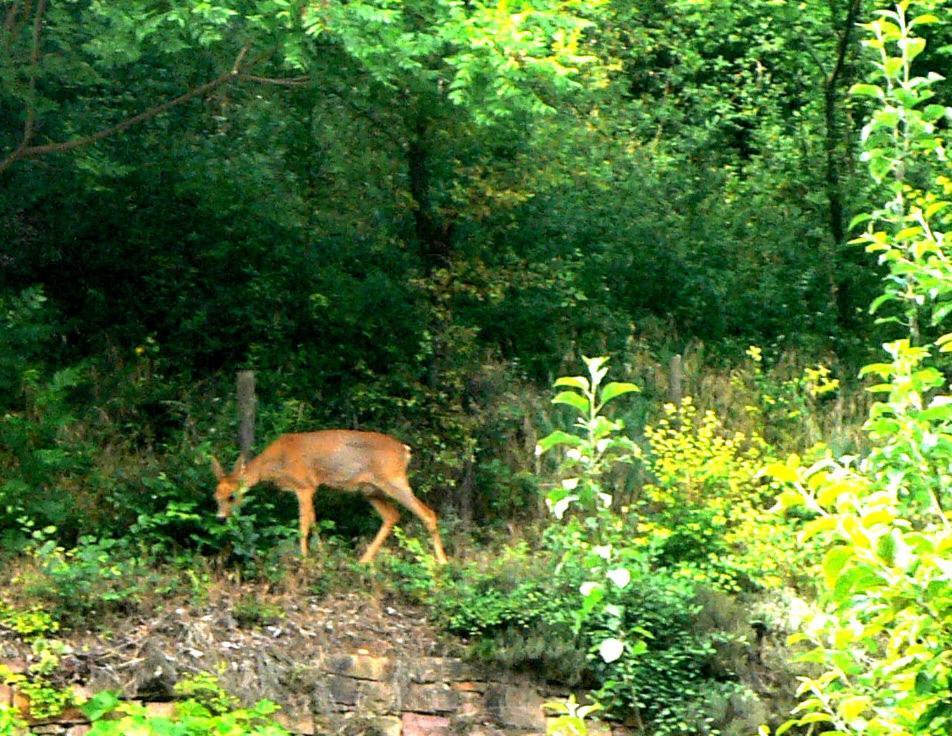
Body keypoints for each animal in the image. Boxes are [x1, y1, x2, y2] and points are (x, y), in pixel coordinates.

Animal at [210, 432, 448, 564]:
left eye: (232, 496)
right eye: (216, 496)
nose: (220, 517)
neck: (276, 464)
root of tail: (405, 451)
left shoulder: (305, 485)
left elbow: (304, 524)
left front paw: (304, 558)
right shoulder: (311, 488)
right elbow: (315, 521)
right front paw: (321, 553)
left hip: (394, 480)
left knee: (428, 513)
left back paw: (442, 563)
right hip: (371, 490)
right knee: (392, 515)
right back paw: (363, 561)